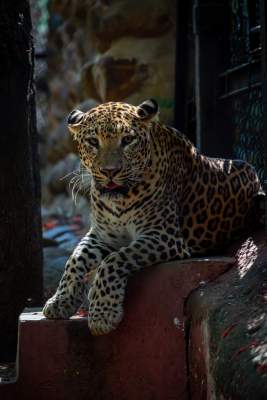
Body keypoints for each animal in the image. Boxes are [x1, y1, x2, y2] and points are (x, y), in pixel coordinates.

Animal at [43, 99, 264, 334]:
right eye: (93, 141)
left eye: (127, 140)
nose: (110, 171)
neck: (119, 200)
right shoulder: (102, 235)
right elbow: (75, 260)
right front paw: (60, 302)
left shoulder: (164, 236)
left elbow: (114, 260)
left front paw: (103, 313)